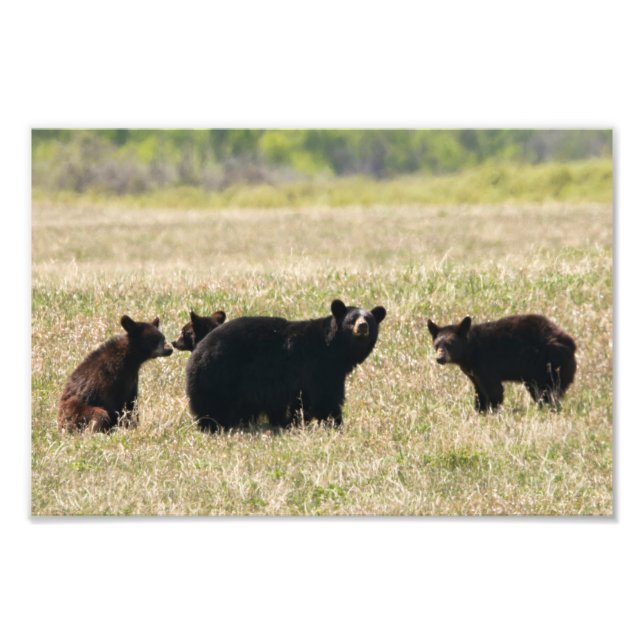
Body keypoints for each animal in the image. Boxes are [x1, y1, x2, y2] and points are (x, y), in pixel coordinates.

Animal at [185, 299, 387, 431]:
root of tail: (199, 350)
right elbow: (325, 396)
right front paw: (335, 422)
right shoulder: (318, 365)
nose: (362, 327)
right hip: (220, 375)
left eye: (369, 320)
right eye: (351, 320)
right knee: (211, 403)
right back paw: (212, 425)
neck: (335, 348)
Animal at [427, 314, 577, 412]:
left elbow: (493, 389)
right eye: (437, 344)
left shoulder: (485, 363)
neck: (470, 351)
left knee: (549, 389)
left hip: (548, 363)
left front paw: (492, 410)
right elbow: (479, 389)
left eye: (450, 343)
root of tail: (570, 342)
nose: (440, 358)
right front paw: (480, 409)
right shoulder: (472, 371)